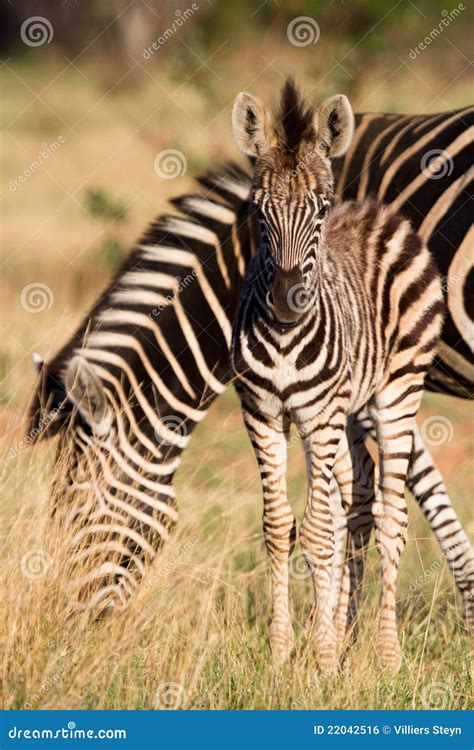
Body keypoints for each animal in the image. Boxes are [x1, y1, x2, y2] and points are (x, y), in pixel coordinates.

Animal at [28, 91, 470, 624]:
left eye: (78, 509)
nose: (67, 620)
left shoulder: (366, 368)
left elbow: (372, 496)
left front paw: (341, 628)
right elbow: (362, 496)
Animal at [230, 79, 444, 672]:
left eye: (320, 209)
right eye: (258, 211)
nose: (287, 298)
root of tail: (376, 211)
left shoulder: (317, 418)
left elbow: (319, 532)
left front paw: (322, 659)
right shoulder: (263, 414)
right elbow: (282, 527)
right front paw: (284, 653)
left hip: (396, 393)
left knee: (392, 520)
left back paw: (385, 654)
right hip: (347, 412)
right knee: (356, 502)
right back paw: (346, 636)